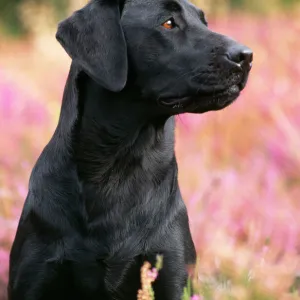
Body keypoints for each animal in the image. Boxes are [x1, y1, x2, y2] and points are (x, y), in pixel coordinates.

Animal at [8, 0, 252, 298]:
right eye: (168, 23)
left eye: (204, 22)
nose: (246, 56)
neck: (117, 166)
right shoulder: (34, 277)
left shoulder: (172, 273)